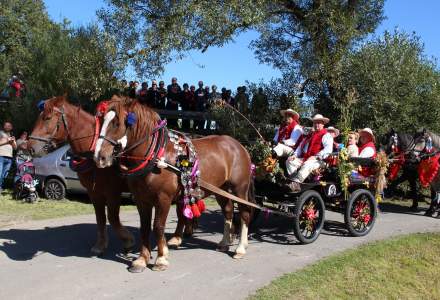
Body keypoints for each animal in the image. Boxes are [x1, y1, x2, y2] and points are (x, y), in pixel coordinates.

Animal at [27, 96, 134, 255]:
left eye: (47, 118)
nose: (29, 148)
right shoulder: (94, 192)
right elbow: (100, 217)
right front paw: (100, 245)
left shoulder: (113, 191)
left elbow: (112, 218)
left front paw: (127, 241)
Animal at [94, 95, 256, 272]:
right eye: (101, 120)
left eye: (117, 123)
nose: (99, 157)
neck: (156, 156)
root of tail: (239, 146)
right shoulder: (141, 199)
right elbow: (145, 227)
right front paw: (142, 259)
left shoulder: (163, 198)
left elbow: (158, 226)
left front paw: (161, 259)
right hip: (221, 189)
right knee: (228, 211)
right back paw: (224, 243)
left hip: (240, 188)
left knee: (244, 213)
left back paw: (240, 248)